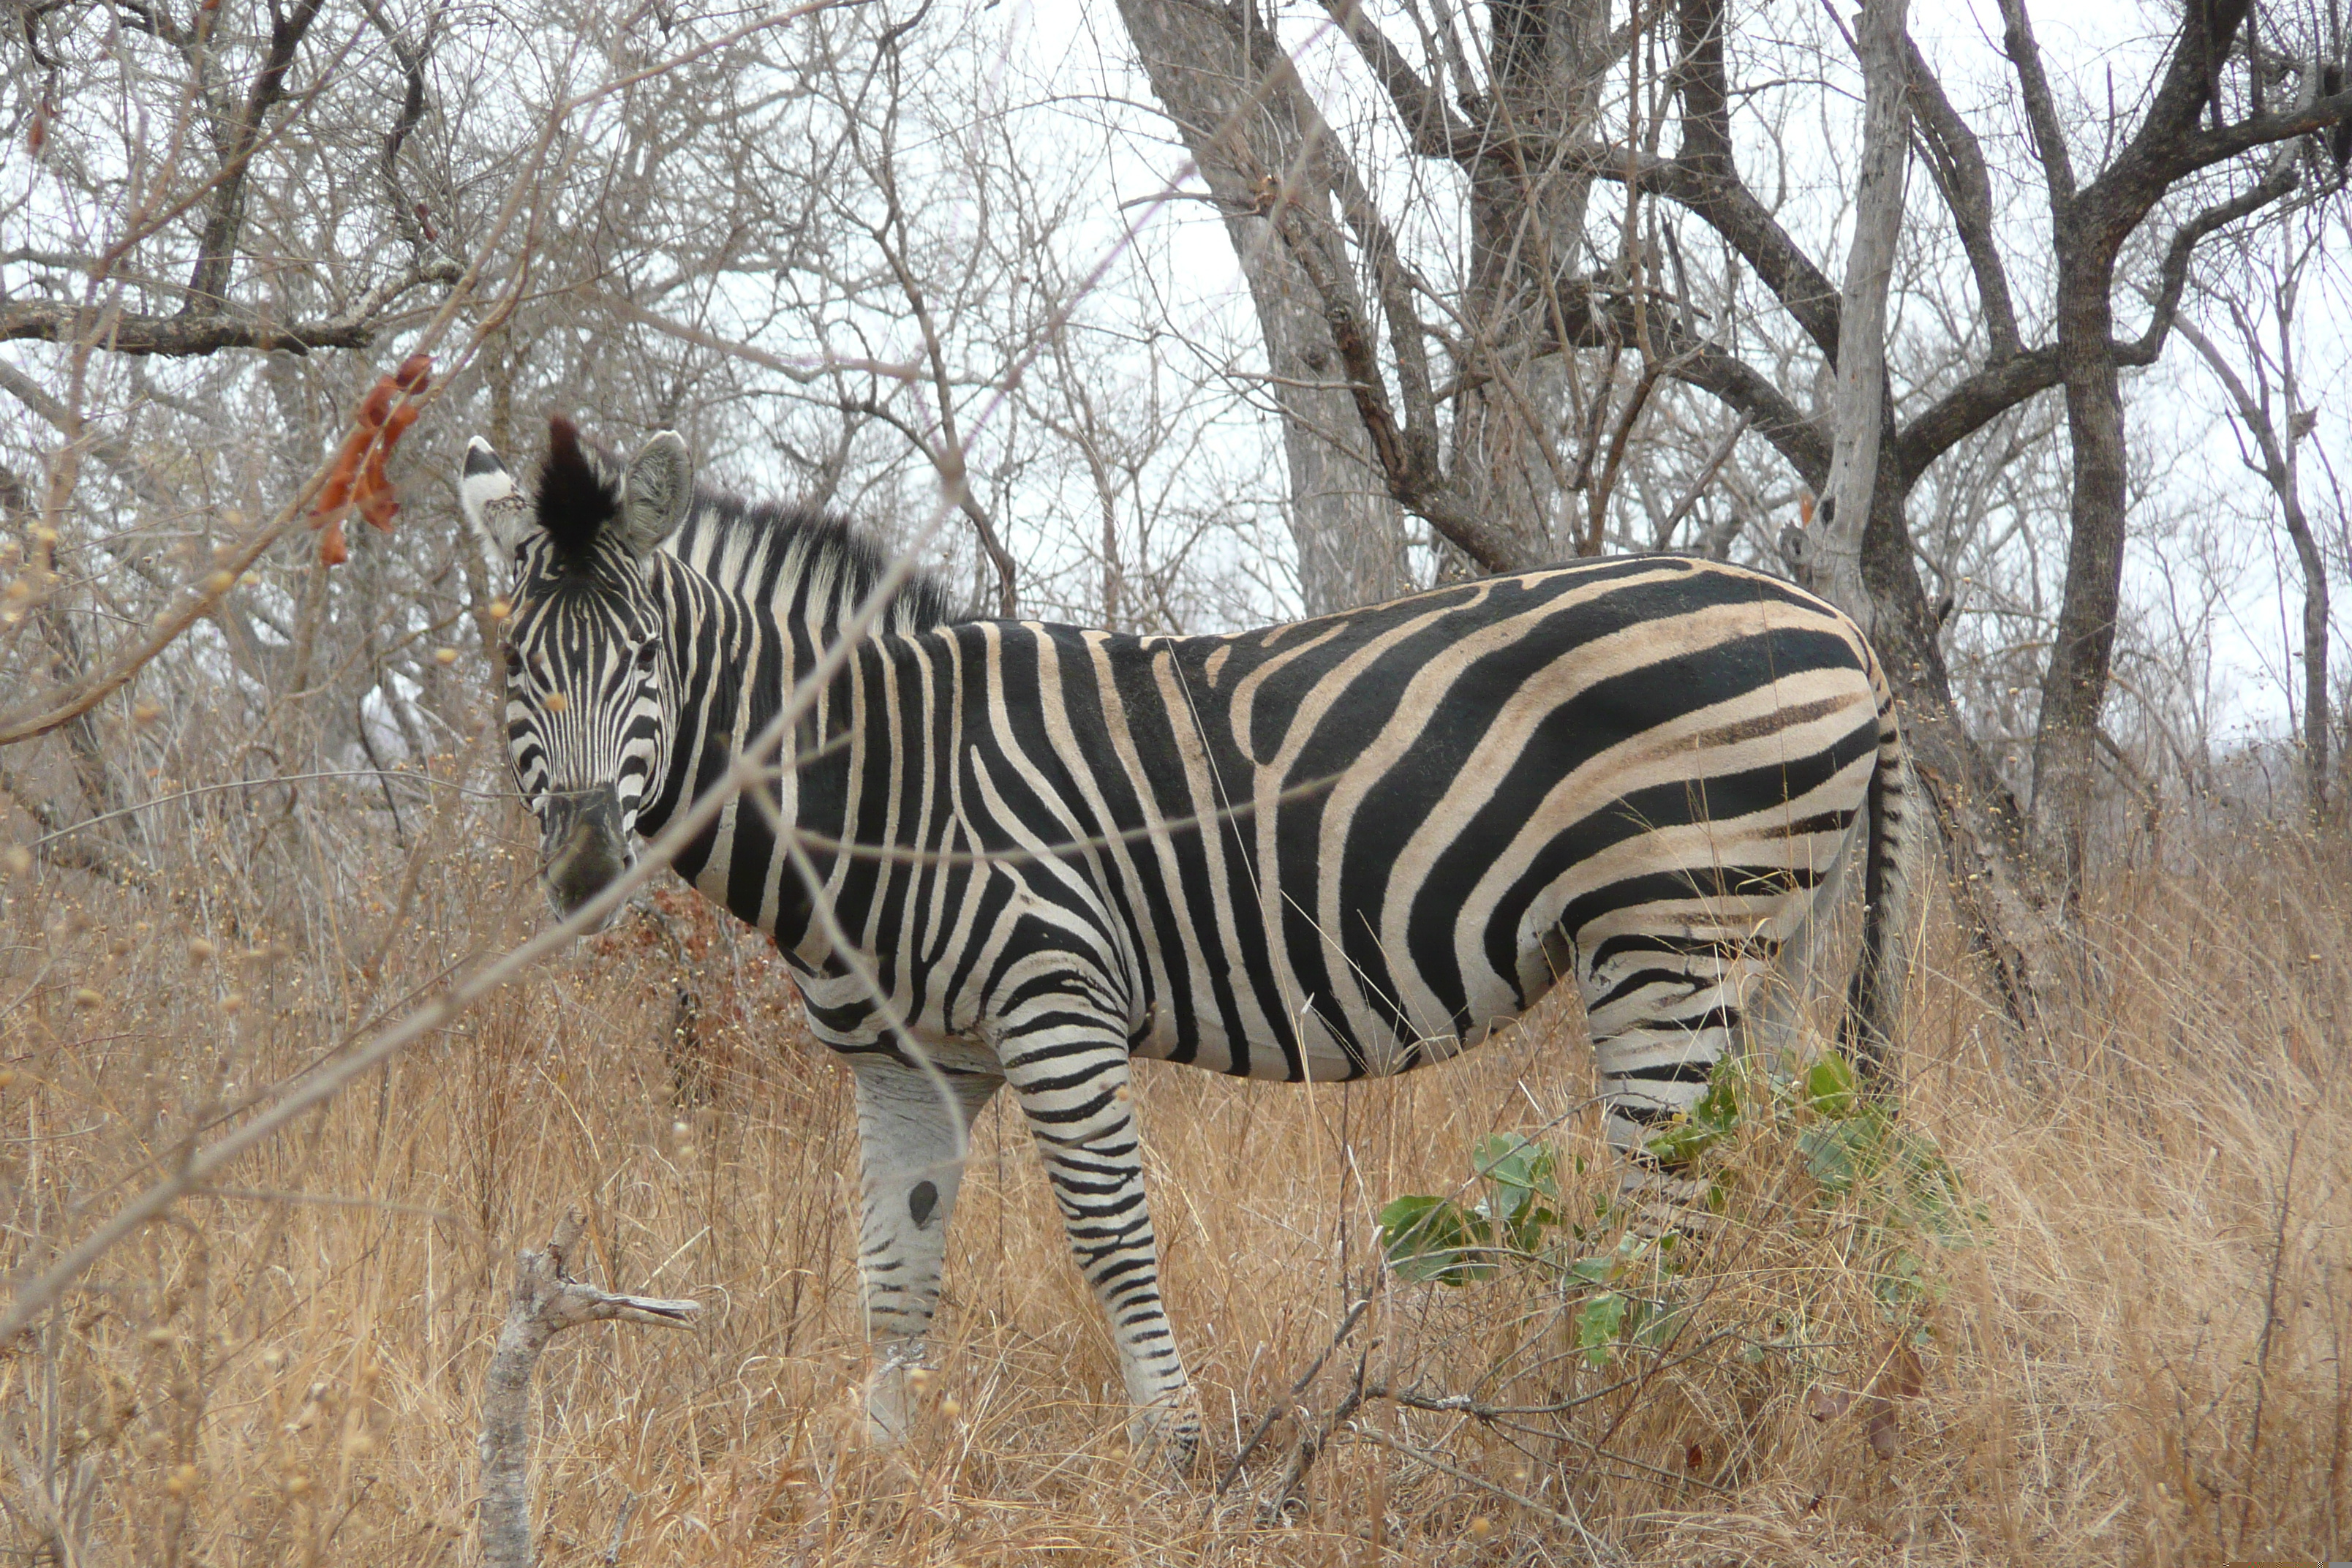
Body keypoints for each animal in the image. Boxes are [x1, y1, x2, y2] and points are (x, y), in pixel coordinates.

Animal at [459, 421, 1910, 1476]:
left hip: (1671, 929)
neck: (885, 790)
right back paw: (1729, 1394)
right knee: (1767, 1176)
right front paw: (878, 1471)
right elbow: (895, 1271)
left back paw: (1617, 1418)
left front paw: (1176, 1454)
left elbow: (1111, 1236)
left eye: (648, 657)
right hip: (1769, 940)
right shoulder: (906, 1060)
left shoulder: (1053, 998)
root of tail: (1845, 630)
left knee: (1670, 1208)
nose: (583, 869)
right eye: (512, 666)